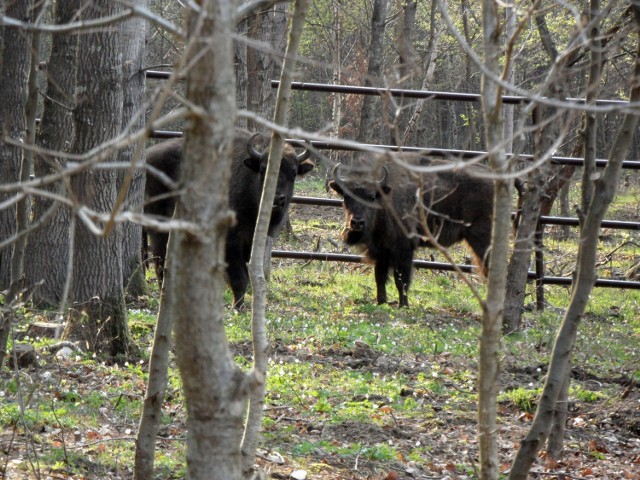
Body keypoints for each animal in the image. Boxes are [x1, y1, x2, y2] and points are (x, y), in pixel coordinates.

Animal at [145, 127, 316, 308]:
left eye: (294, 172)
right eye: (263, 169)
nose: (278, 199)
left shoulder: (250, 243)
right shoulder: (231, 242)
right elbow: (239, 278)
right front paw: (237, 307)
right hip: (159, 228)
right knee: (160, 260)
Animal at [330, 152, 496, 306]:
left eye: (371, 197)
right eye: (346, 197)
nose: (357, 223)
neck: (386, 197)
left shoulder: (403, 248)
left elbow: (401, 280)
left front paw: (404, 305)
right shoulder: (381, 250)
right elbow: (380, 277)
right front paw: (381, 302)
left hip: (482, 240)